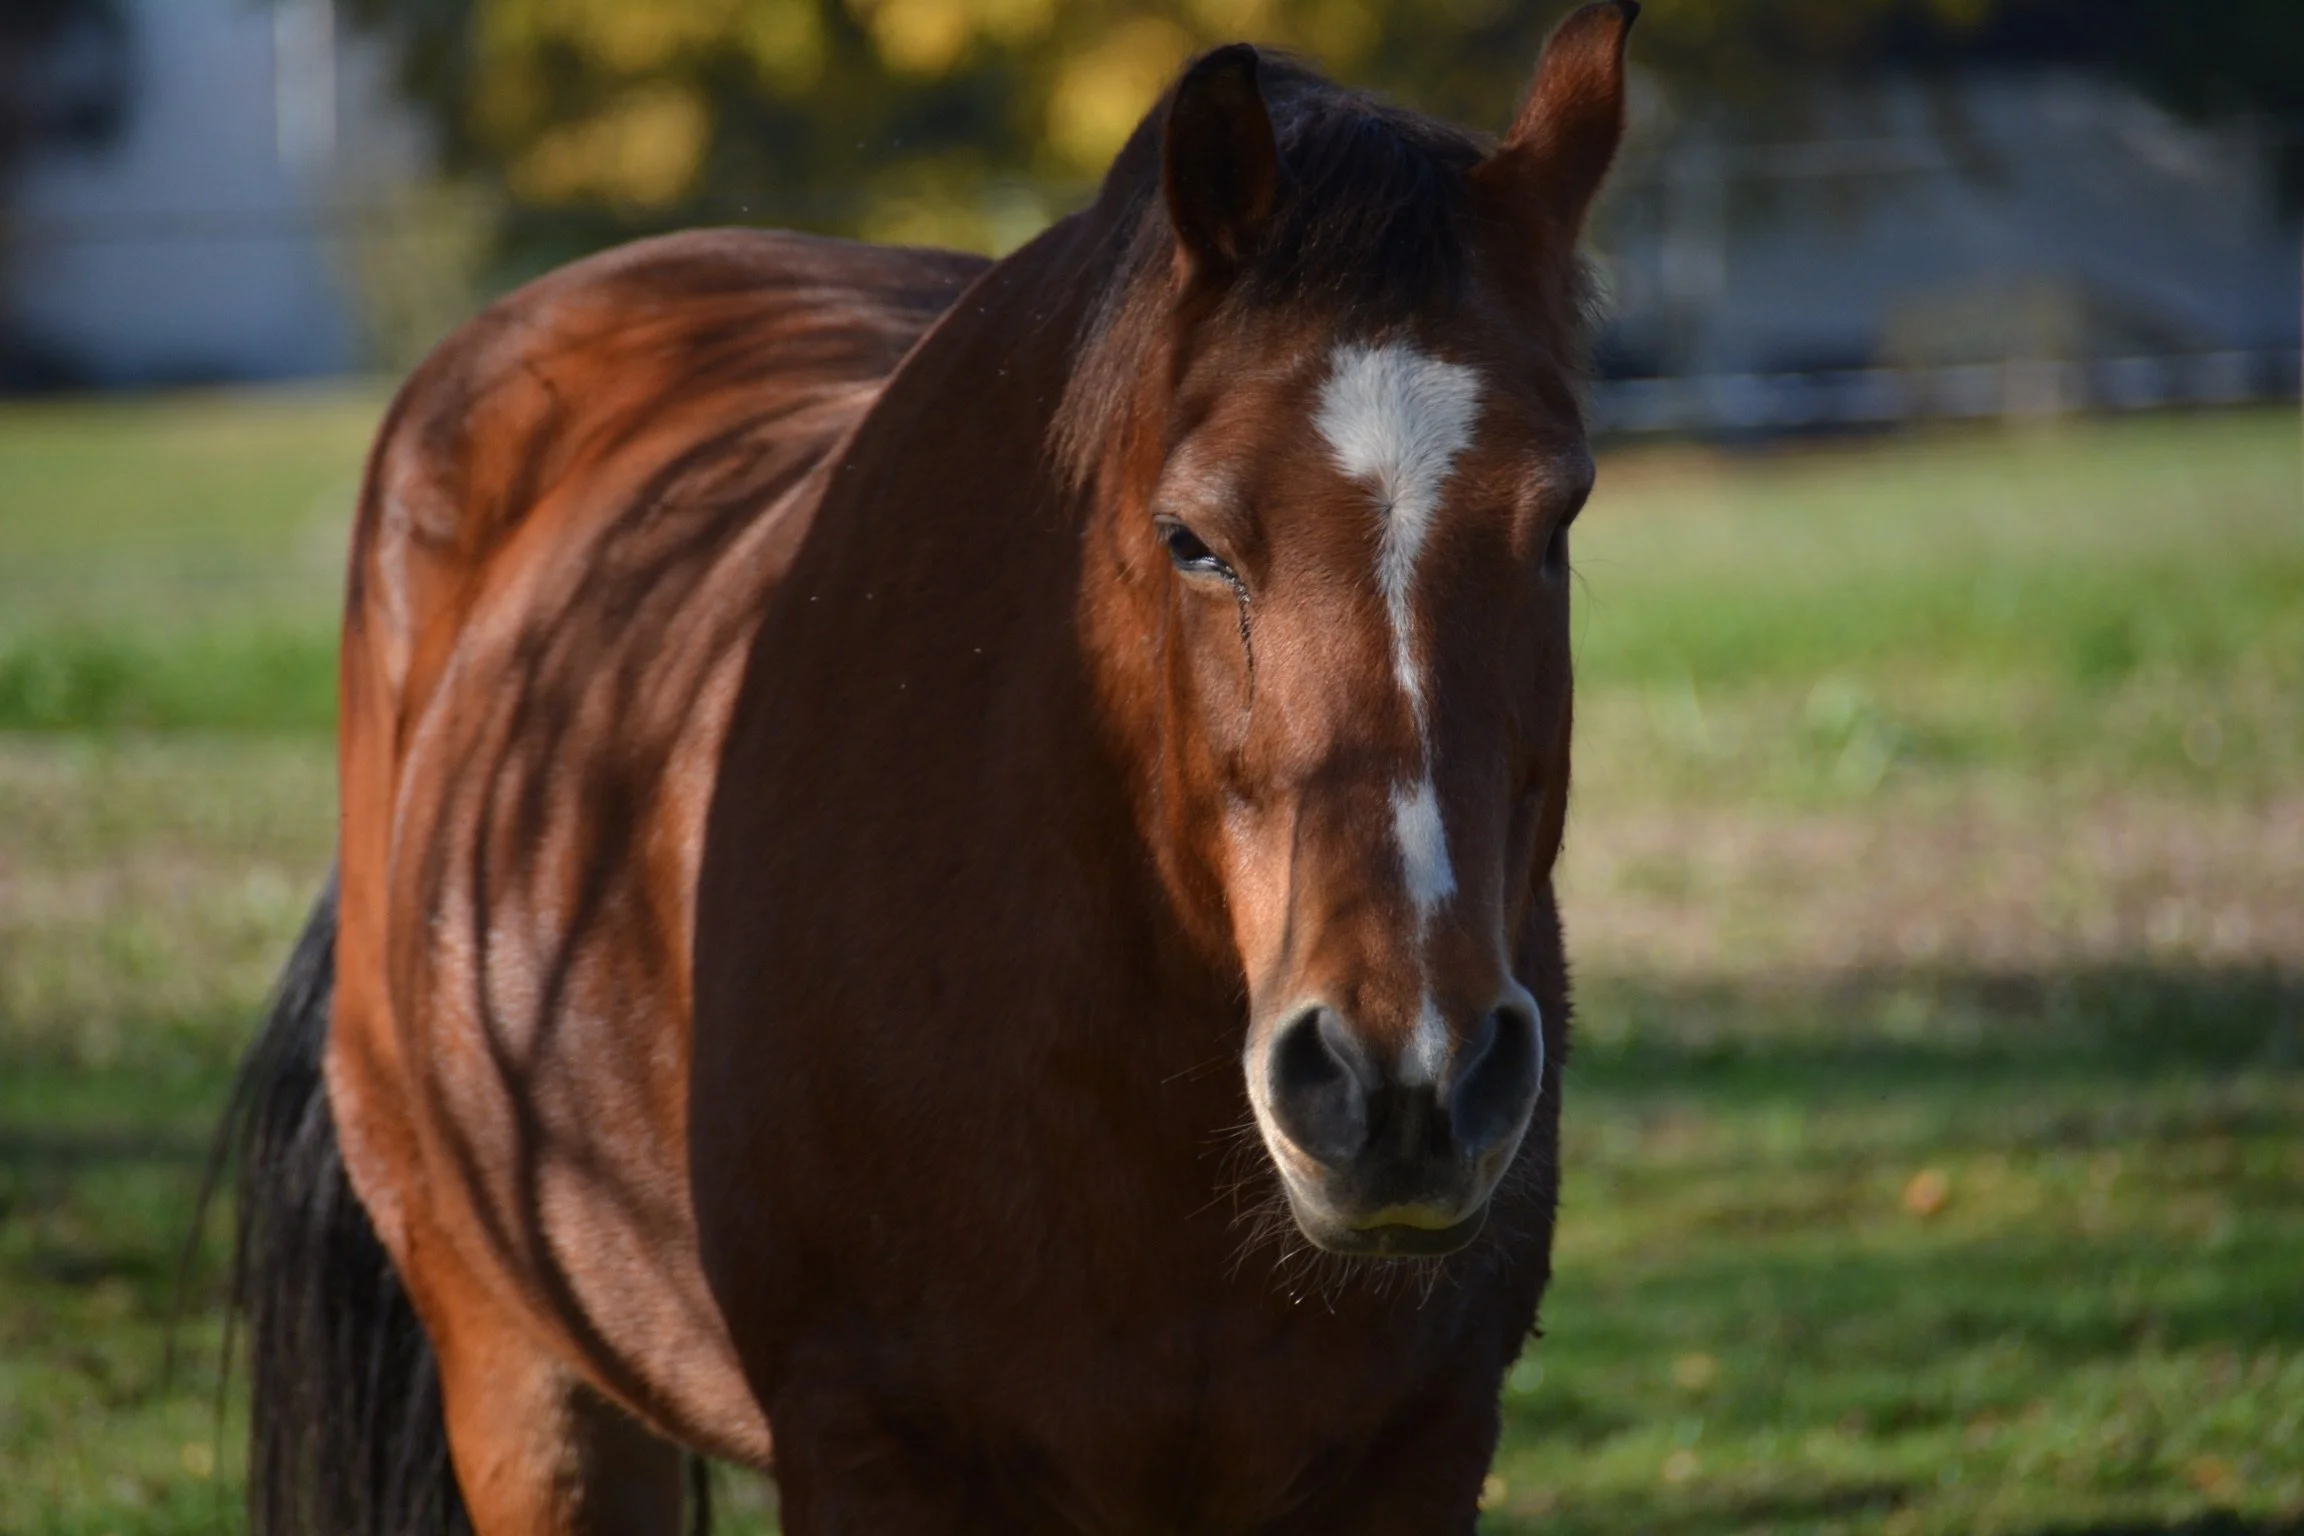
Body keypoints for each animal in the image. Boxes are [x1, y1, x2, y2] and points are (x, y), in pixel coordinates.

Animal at [215, 6, 1637, 1530]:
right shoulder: (863, 1446)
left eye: (1556, 522)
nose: (1406, 1078)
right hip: (528, 1390)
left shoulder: (1417, 1449)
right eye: (1193, 539)